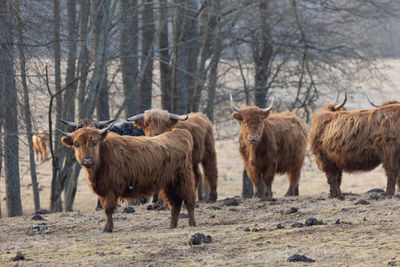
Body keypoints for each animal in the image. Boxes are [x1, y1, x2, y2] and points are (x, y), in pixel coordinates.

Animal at [59, 125, 195, 232]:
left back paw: (192, 223)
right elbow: (105, 209)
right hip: (169, 184)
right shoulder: (102, 191)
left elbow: (108, 209)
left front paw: (107, 228)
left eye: (95, 143)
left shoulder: (110, 189)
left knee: (189, 200)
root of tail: (179, 133)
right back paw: (172, 225)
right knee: (175, 204)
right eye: (77, 144)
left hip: (184, 179)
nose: (87, 160)